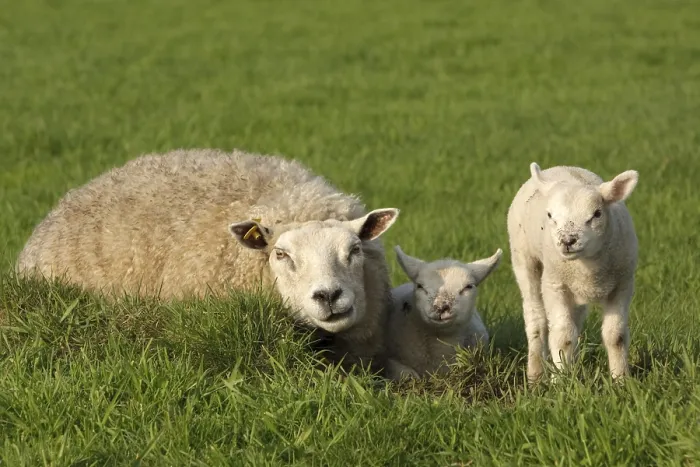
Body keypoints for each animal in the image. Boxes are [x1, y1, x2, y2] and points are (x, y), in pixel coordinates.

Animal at [506, 162, 639, 381]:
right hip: (524, 258)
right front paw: (561, 381)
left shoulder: (623, 284)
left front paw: (621, 379)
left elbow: (616, 335)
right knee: (537, 320)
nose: (568, 241)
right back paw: (536, 374)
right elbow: (562, 336)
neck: (588, 266)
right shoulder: (554, 285)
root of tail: (561, 166)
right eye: (550, 215)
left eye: (597, 214)